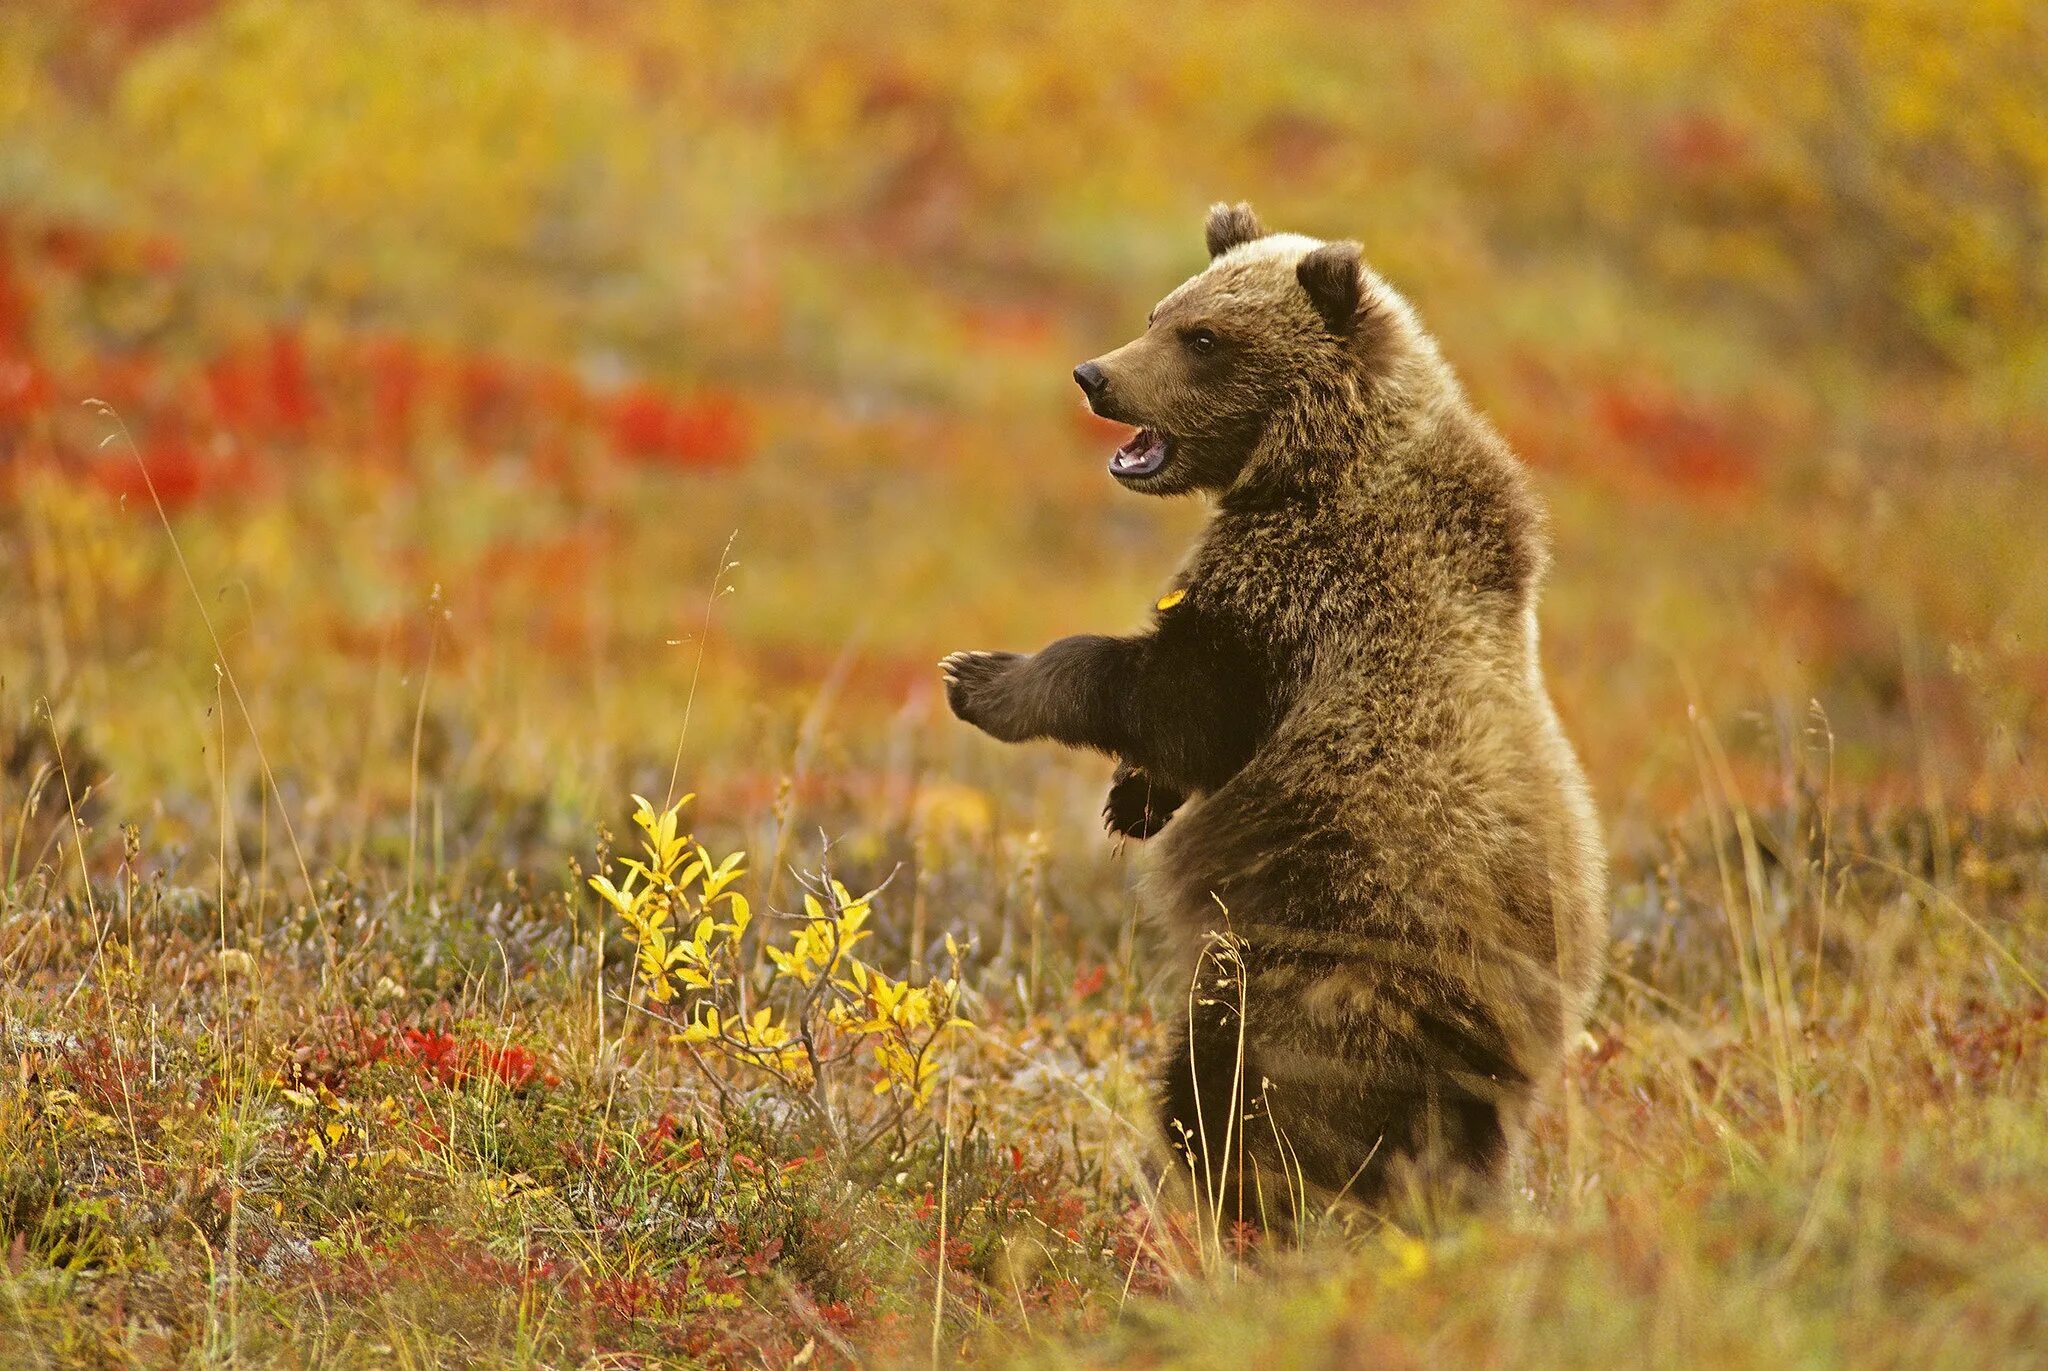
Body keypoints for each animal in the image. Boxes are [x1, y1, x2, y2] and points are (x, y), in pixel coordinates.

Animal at [946, 205, 1613, 1229]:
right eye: (1161, 310)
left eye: (1206, 339)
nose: (1095, 376)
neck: (1308, 468)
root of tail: (1518, 1042)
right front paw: (1132, 801)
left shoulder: (1307, 600)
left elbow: (1174, 696)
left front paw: (983, 678)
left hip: (1327, 974)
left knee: (1232, 1095)